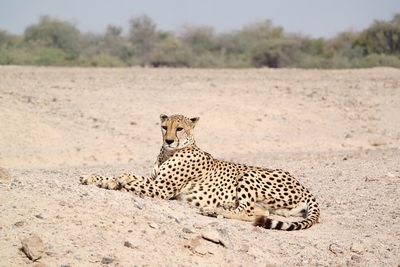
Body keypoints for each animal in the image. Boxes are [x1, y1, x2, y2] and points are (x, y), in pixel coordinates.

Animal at [79, 114, 320, 231]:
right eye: (164, 127)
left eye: (179, 128)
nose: (169, 140)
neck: (168, 152)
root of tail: (303, 186)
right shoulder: (156, 180)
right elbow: (123, 177)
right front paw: (95, 178)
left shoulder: (161, 189)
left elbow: (132, 180)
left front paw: (119, 180)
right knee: (261, 212)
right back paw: (219, 208)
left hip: (249, 175)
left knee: (250, 211)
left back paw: (214, 210)